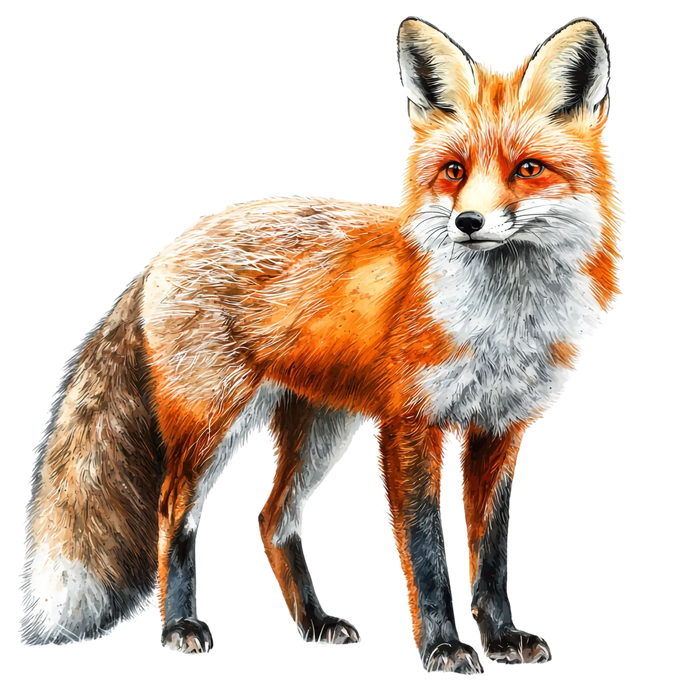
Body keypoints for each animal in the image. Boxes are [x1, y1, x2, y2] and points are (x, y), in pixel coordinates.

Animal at [18, 14, 625, 676]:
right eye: (454, 172)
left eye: (528, 169)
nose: (468, 223)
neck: (502, 323)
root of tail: (170, 245)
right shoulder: (411, 425)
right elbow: (428, 553)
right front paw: (444, 646)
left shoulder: (501, 430)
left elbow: (488, 554)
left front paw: (500, 638)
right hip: (214, 425)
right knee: (174, 512)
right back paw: (179, 625)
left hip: (321, 431)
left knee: (271, 519)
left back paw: (313, 622)